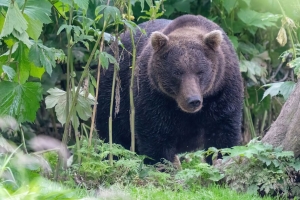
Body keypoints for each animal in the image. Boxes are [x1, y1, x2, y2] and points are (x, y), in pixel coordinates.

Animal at [96, 14, 244, 164]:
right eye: (177, 72)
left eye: (200, 72)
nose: (193, 100)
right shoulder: (155, 94)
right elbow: (156, 136)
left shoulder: (222, 90)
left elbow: (222, 134)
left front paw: (220, 159)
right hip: (116, 90)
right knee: (114, 134)